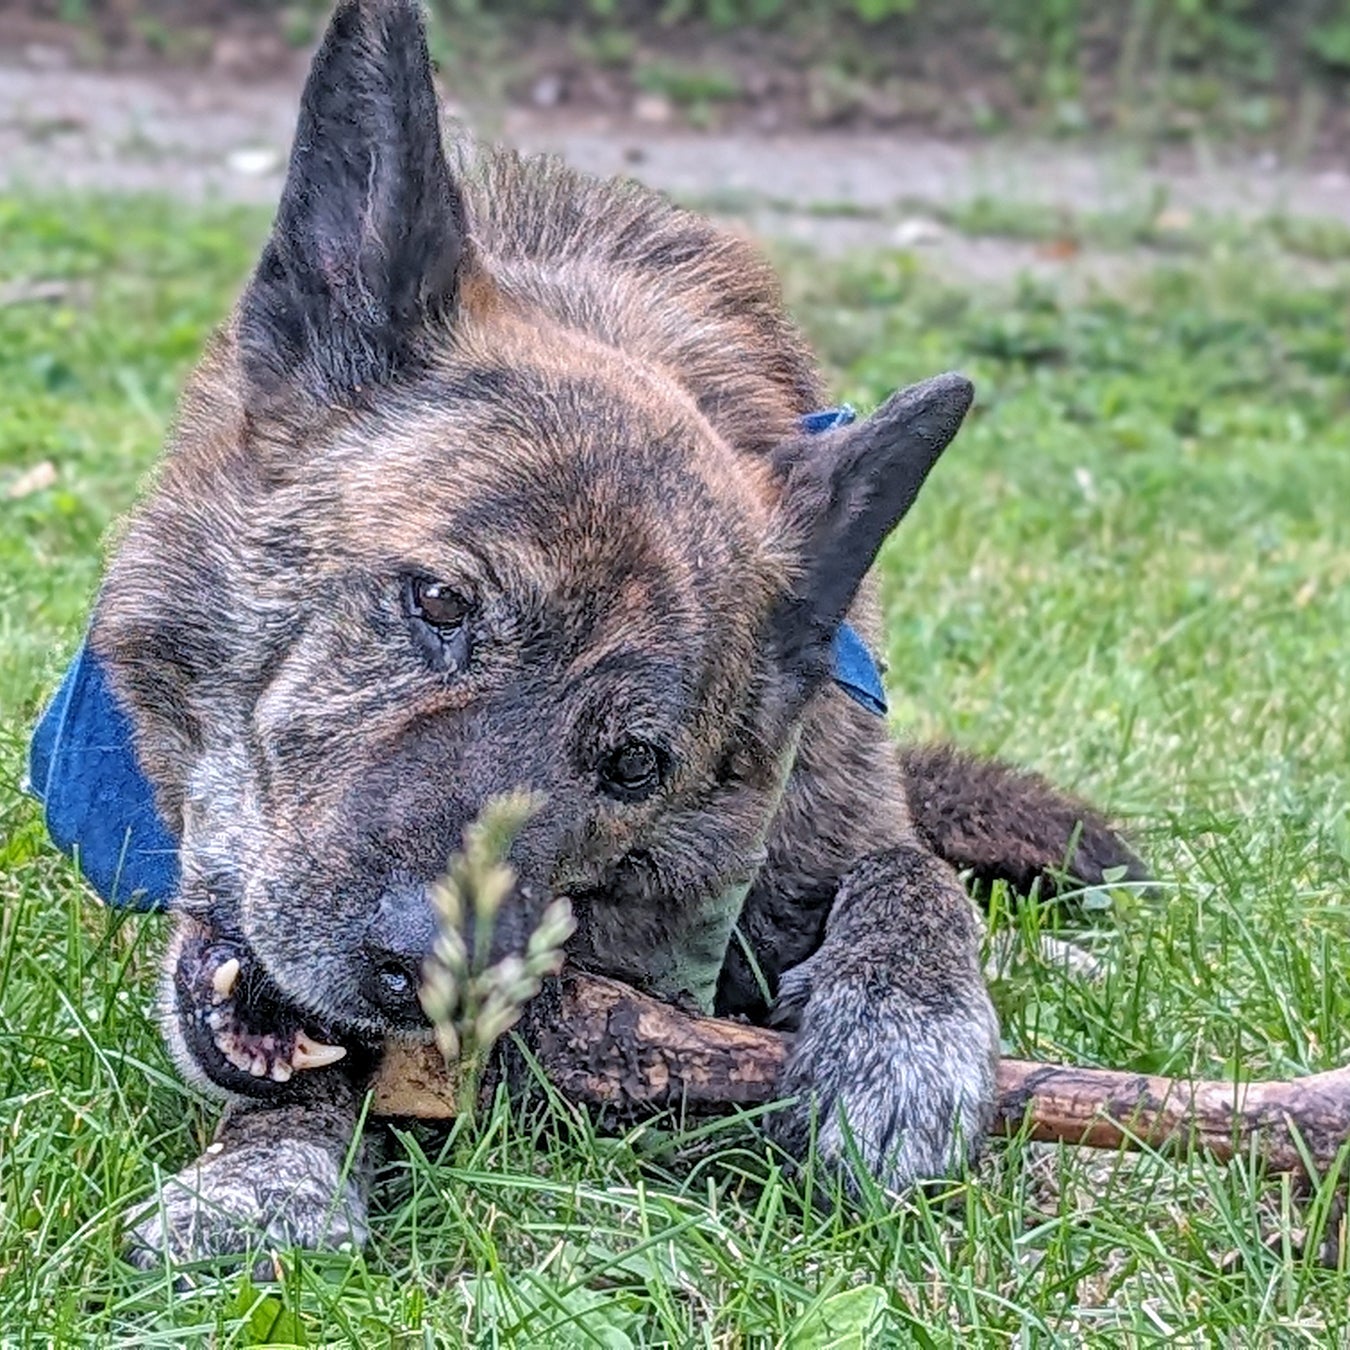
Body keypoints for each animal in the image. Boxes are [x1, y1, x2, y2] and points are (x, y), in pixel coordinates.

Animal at [58, 2, 1144, 1263]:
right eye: (438, 605)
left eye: (632, 765)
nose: (430, 980)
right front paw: (269, 1170)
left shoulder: (831, 814)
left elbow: (912, 872)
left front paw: (905, 1035)